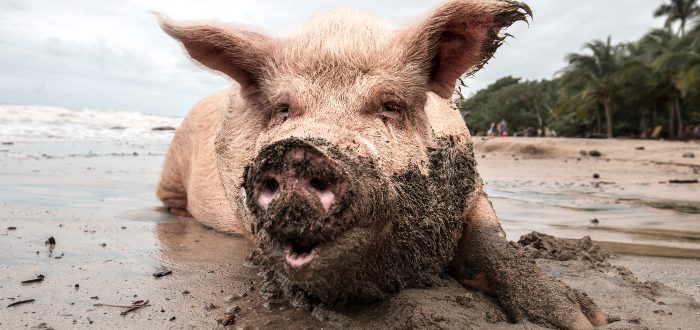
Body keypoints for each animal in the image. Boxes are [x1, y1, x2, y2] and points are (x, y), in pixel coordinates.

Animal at [154, 1, 608, 328]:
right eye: (283, 109)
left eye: (390, 105)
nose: (298, 152)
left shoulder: (475, 189)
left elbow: (494, 242)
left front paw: (585, 320)